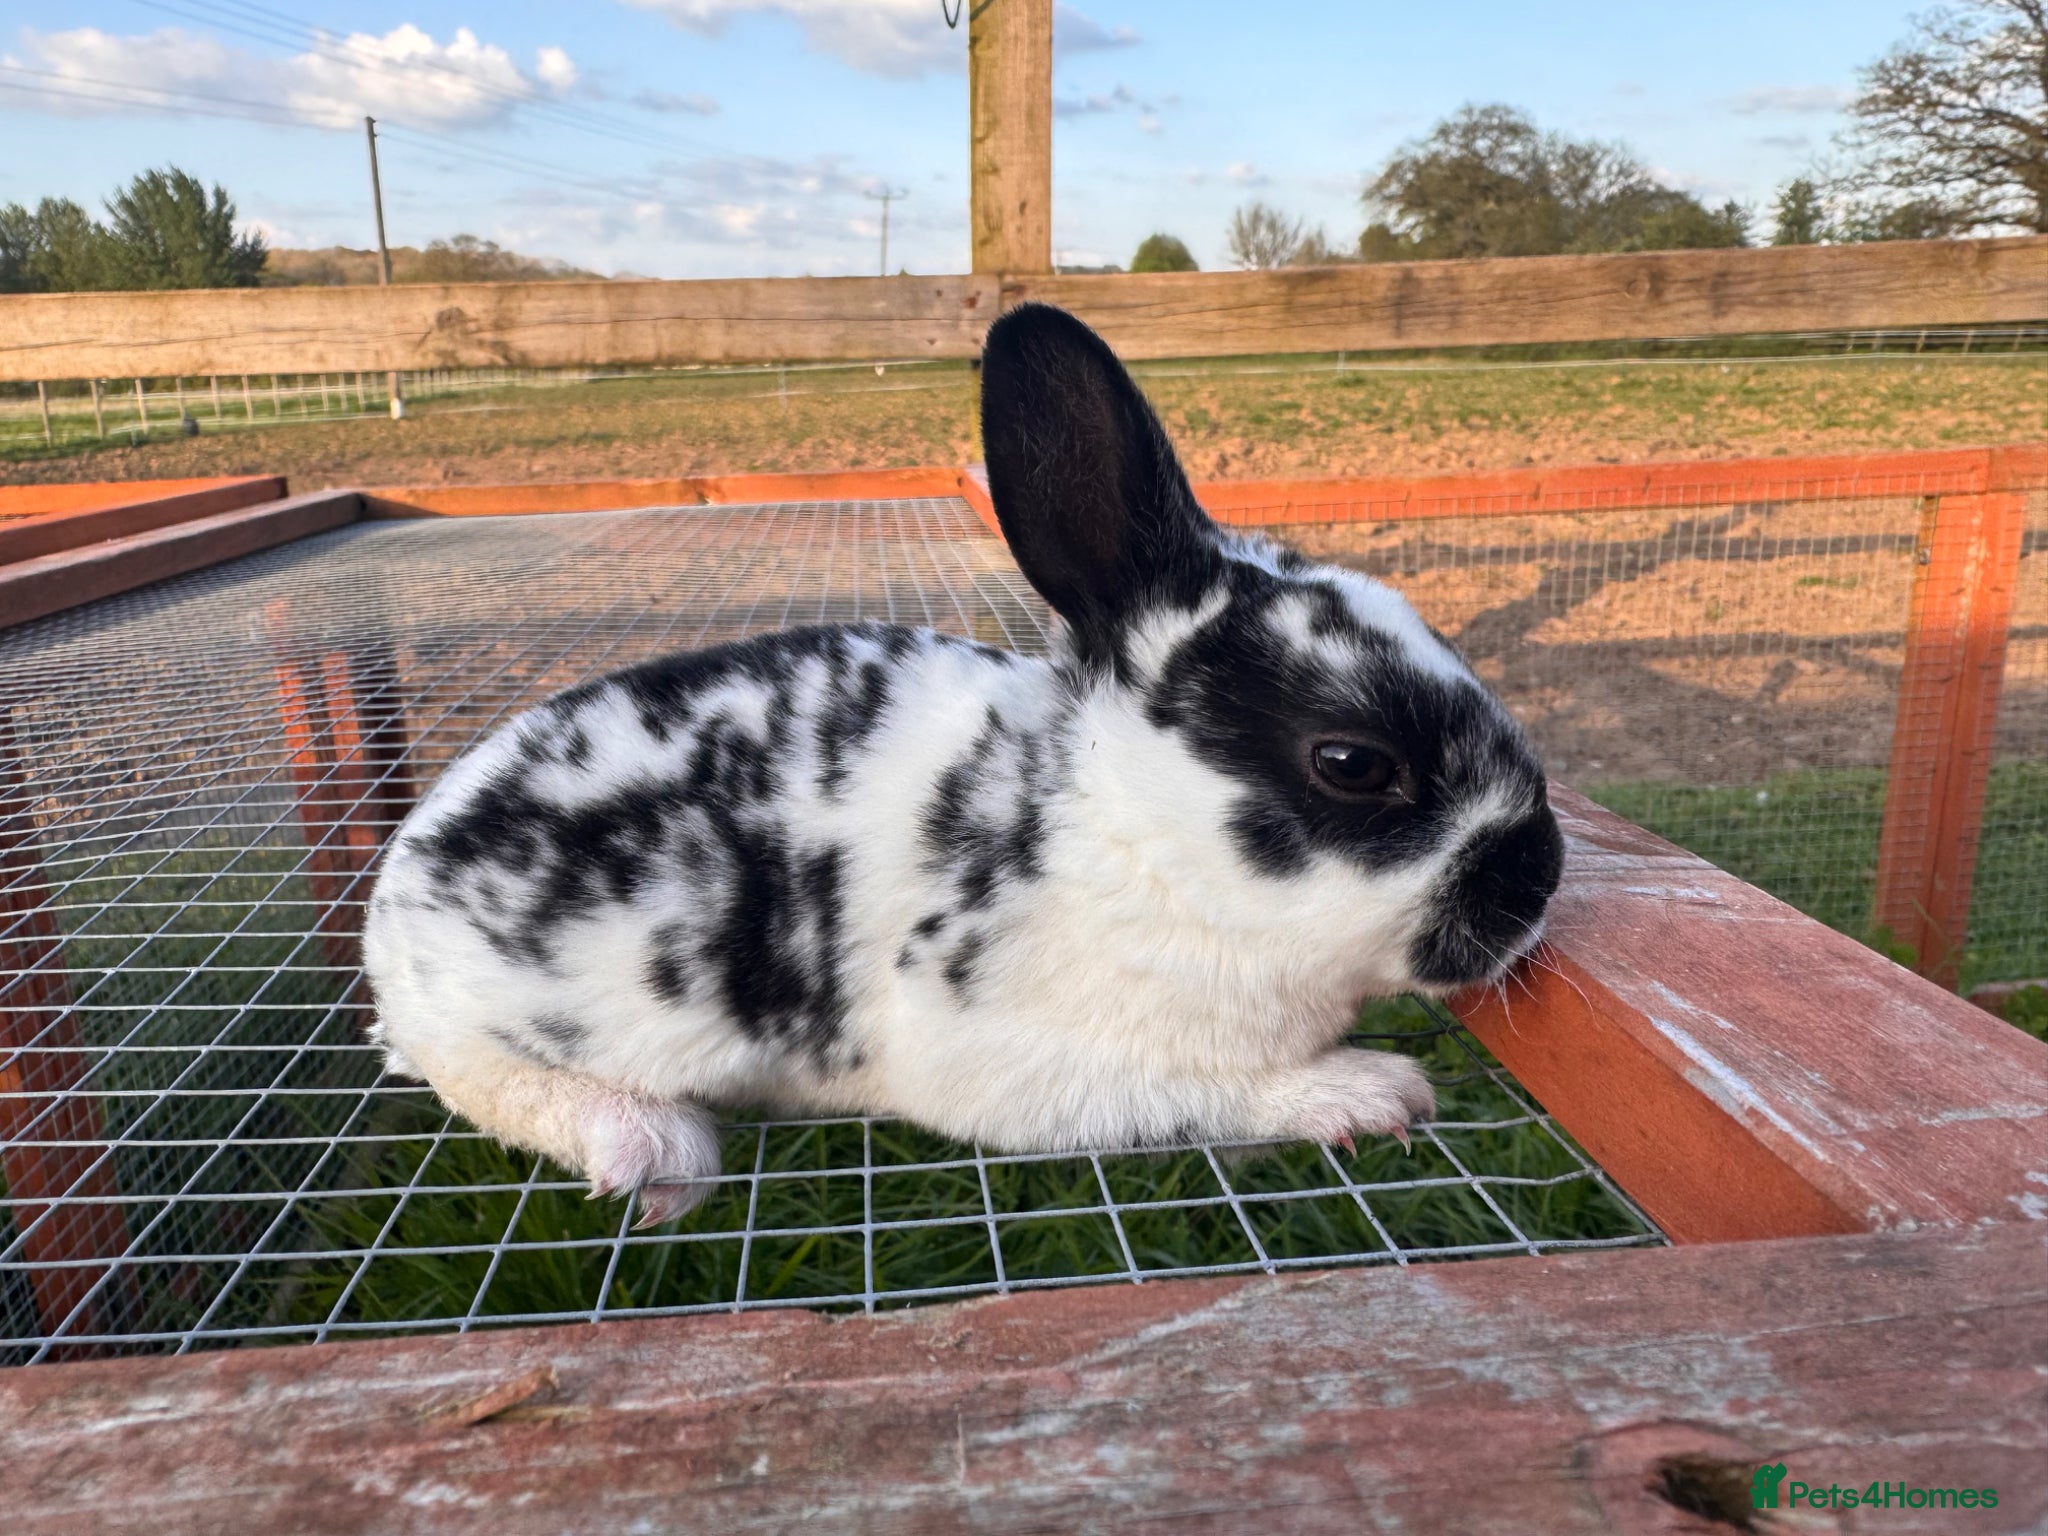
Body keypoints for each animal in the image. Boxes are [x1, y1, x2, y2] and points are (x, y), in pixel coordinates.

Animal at [362, 302, 1564, 1225]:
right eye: (1352, 762)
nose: (1538, 875)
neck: (1121, 832)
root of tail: (397, 888)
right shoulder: (1025, 1061)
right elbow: (1208, 1090)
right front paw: (1370, 1094)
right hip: (500, 1021)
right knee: (475, 1074)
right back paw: (649, 1150)